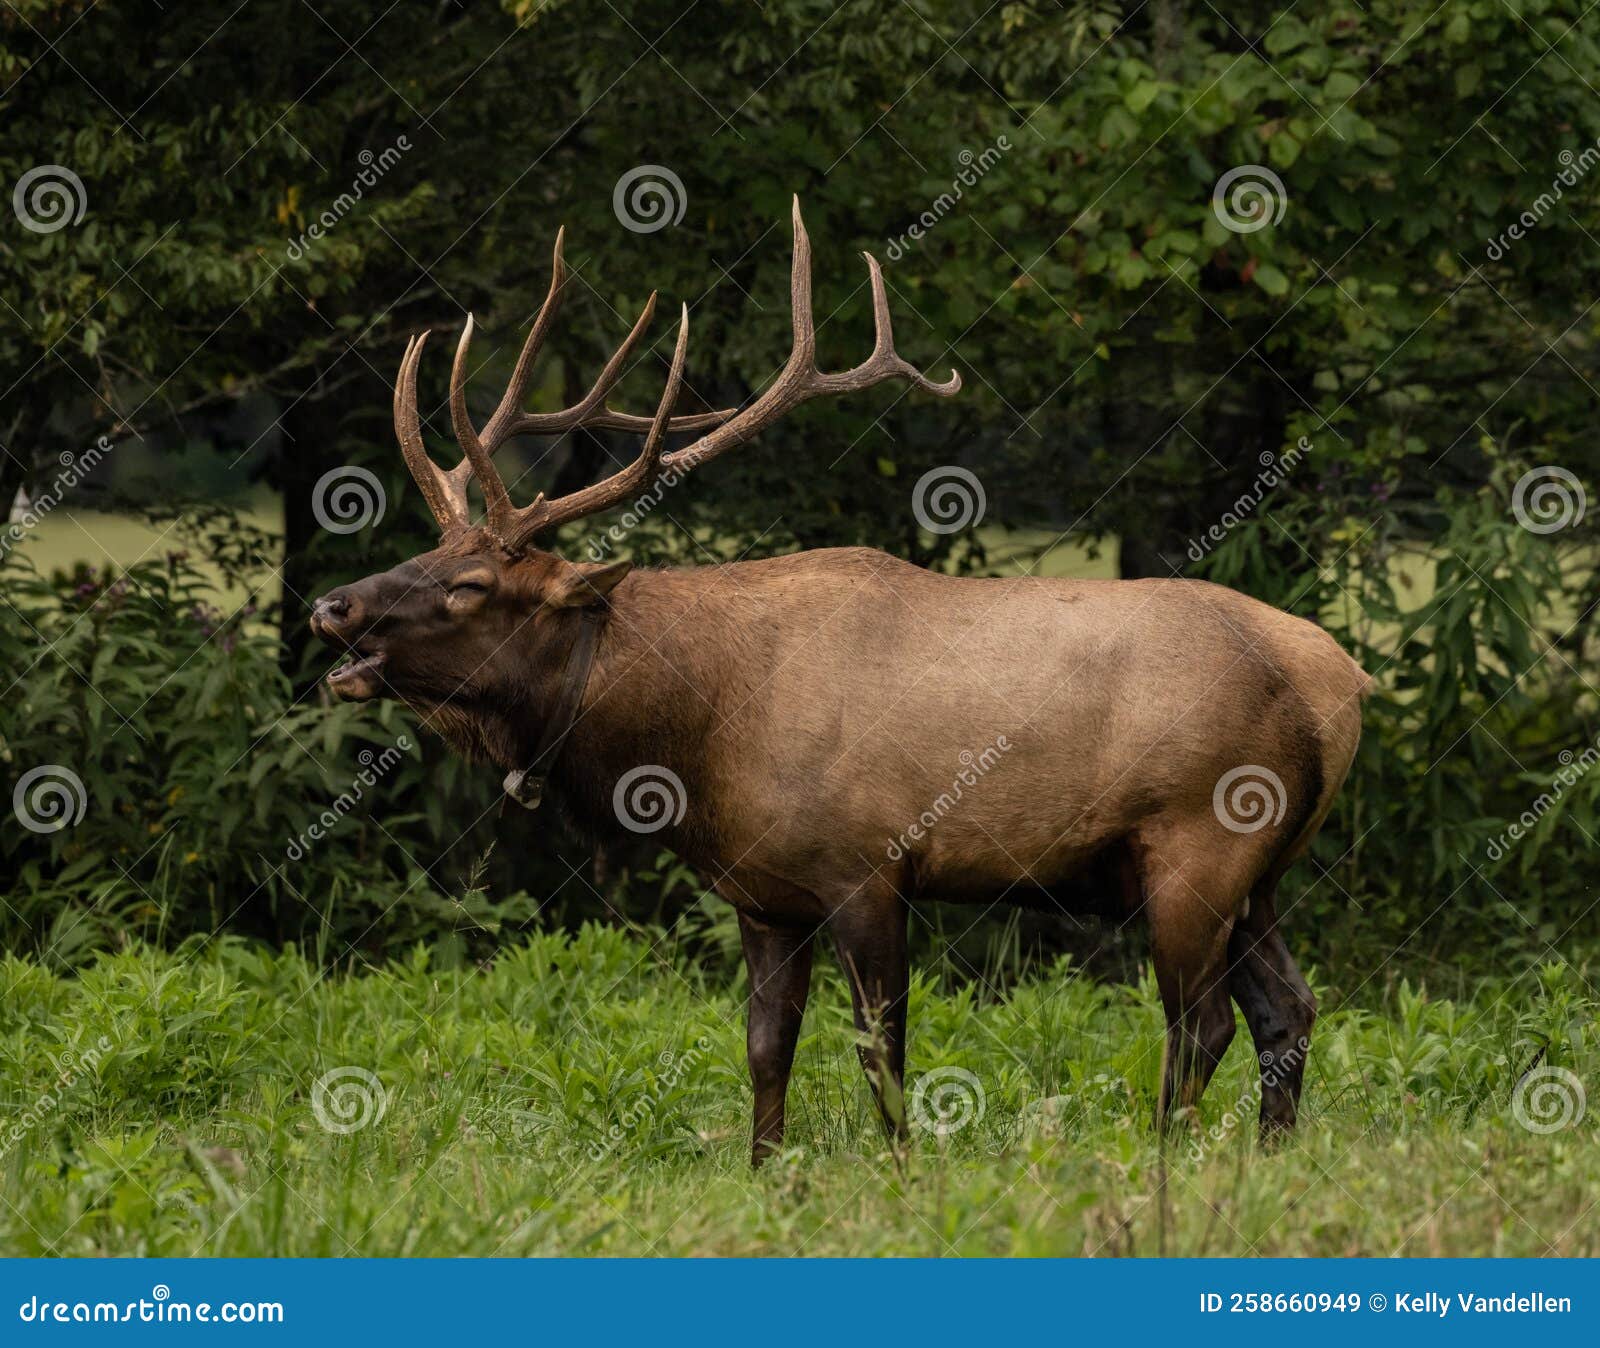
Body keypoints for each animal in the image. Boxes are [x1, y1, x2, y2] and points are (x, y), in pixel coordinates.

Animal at [310, 199, 1370, 1164]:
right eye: (426, 549)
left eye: (471, 586)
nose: (332, 606)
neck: (693, 742)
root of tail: (1345, 683)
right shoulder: (764, 894)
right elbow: (765, 1047)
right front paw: (765, 1170)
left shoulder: (871, 864)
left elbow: (881, 1050)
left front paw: (900, 1169)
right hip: (1261, 868)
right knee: (1291, 1007)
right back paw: (1271, 1158)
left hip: (1196, 840)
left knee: (1206, 1023)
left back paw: (1163, 1160)